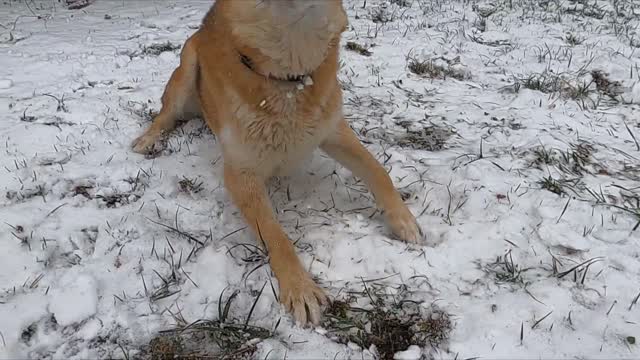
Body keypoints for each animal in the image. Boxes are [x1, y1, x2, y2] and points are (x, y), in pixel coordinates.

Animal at [132, 0, 422, 326]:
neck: (291, 82)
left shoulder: (334, 131)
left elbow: (378, 171)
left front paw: (403, 220)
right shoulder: (240, 173)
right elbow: (275, 234)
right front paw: (299, 287)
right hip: (186, 69)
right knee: (165, 115)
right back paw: (148, 139)